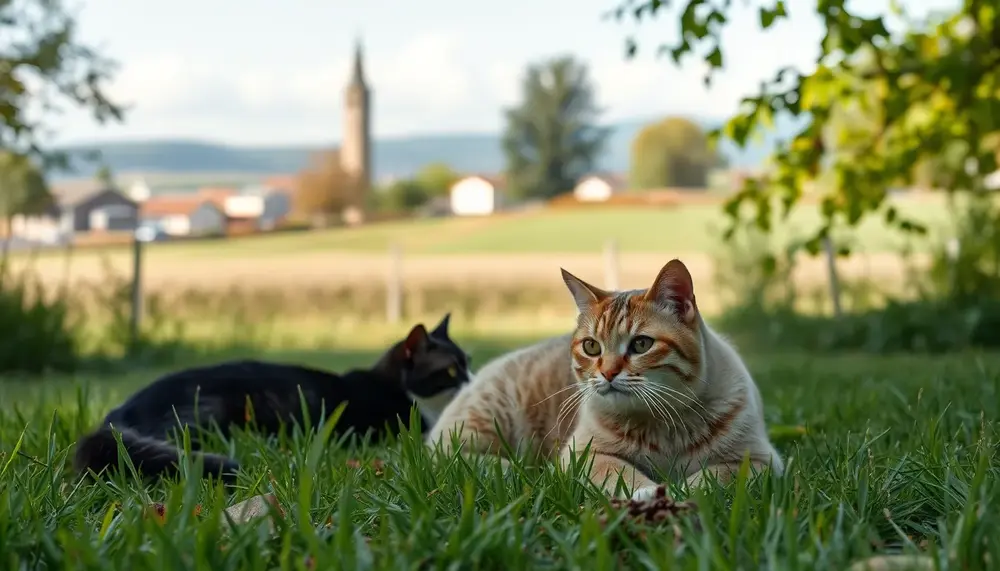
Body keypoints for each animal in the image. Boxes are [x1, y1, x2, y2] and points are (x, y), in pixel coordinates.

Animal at [426, 260, 784, 500]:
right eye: (591, 346)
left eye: (641, 344)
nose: (608, 373)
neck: (663, 424)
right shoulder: (585, 454)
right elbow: (619, 472)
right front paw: (647, 493)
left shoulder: (758, 461)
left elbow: (713, 476)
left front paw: (680, 492)